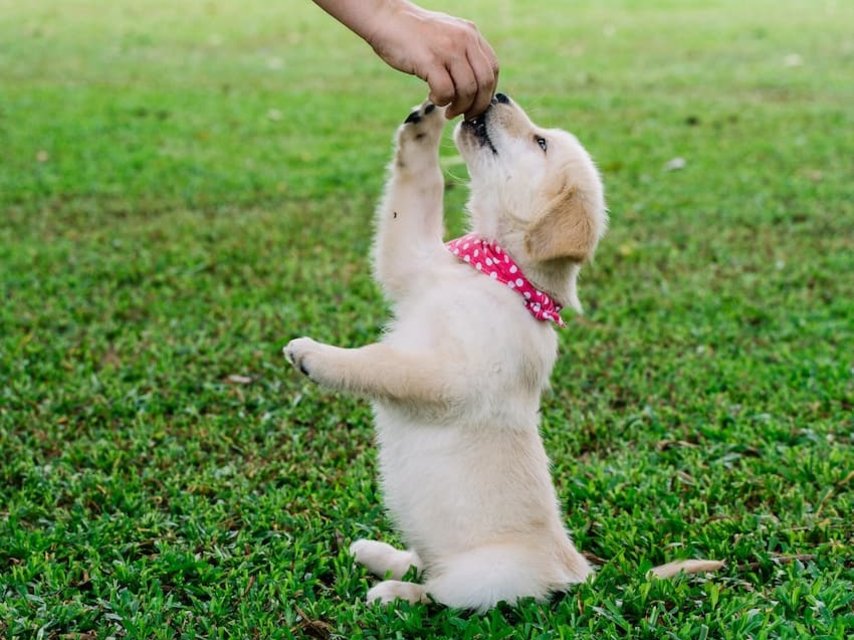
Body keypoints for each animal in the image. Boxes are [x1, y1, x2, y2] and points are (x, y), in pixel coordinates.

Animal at [286, 95, 608, 608]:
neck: (495, 271)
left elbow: (381, 363)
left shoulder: (451, 376)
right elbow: (420, 190)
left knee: (440, 595)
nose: (499, 95)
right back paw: (378, 553)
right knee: (423, 562)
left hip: (485, 578)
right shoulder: (410, 261)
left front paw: (316, 355)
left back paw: (394, 592)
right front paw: (423, 129)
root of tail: (576, 572)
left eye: (540, 142)